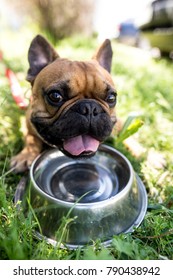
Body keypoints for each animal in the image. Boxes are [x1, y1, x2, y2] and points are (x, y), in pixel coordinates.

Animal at [10, 34, 117, 172]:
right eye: (55, 96)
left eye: (111, 98)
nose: (90, 108)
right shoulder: (27, 125)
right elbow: (31, 139)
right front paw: (25, 156)